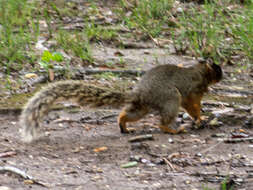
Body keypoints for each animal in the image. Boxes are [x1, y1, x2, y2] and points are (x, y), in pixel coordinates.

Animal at [19, 60, 221, 142]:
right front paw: (200, 118)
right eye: (218, 69)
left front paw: (200, 119)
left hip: (143, 108)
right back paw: (173, 129)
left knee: (126, 115)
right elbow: (193, 106)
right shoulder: (194, 91)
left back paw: (124, 126)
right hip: (170, 99)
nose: (223, 75)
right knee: (162, 122)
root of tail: (139, 93)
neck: (199, 71)